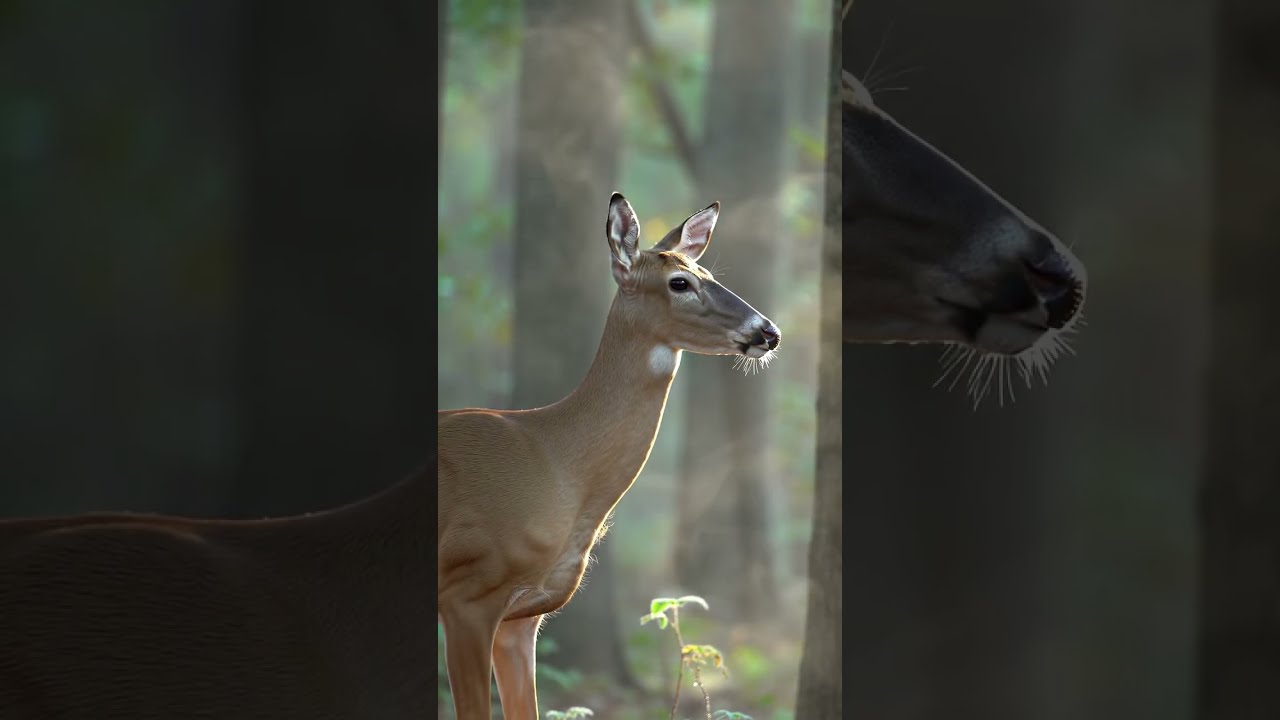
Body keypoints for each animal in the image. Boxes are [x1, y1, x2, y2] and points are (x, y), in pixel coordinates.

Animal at [0, 193, 780, 720]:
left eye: (706, 268)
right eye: (679, 281)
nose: (766, 331)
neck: (559, 467)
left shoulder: (524, 618)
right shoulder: (466, 591)